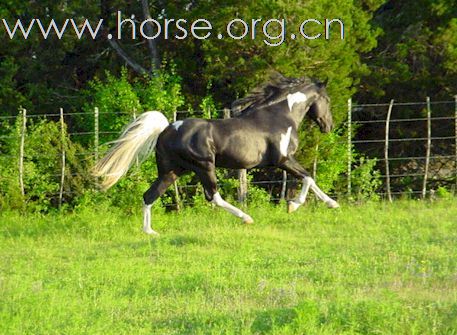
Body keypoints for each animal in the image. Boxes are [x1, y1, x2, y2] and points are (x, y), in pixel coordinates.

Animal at [91, 75, 338, 235]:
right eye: (327, 100)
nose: (328, 126)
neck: (279, 115)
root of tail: (167, 128)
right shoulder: (282, 160)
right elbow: (308, 177)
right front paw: (294, 205)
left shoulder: (284, 161)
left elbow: (309, 179)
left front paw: (332, 204)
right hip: (204, 166)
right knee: (213, 196)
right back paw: (246, 218)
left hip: (172, 170)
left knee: (149, 195)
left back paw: (150, 232)